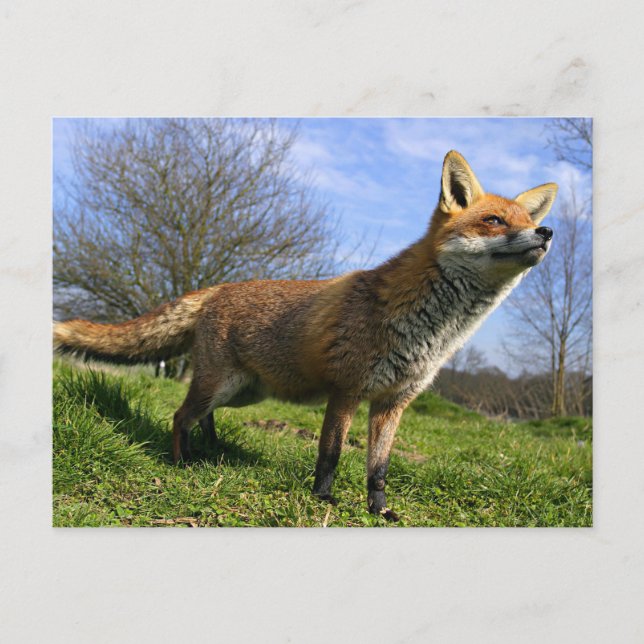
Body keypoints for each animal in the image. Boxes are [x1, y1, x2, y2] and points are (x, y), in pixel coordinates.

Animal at [54, 150, 557, 521]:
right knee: (180, 416)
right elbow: (330, 453)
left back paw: (209, 451)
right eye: (494, 221)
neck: (431, 332)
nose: (547, 231)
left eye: (526, 221)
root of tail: (219, 287)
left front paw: (379, 511)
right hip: (222, 385)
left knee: (201, 416)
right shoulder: (347, 390)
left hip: (241, 393)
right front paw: (323, 500)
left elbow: (379, 468)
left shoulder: (393, 402)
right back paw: (181, 461)